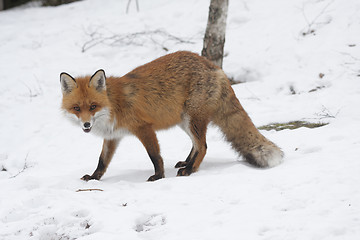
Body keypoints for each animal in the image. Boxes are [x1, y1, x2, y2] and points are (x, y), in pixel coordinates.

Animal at [60, 51, 282, 182]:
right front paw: (94, 177)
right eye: (77, 108)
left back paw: (190, 170)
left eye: (93, 106)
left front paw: (159, 176)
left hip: (192, 119)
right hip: (185, 121)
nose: (86, 125)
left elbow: (155, 156)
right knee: (196, 145)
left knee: (203, 146)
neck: (113, 105)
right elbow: (102, 161)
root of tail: (213, 66)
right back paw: (187, 163)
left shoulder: (144, 128)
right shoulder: (113, 136)